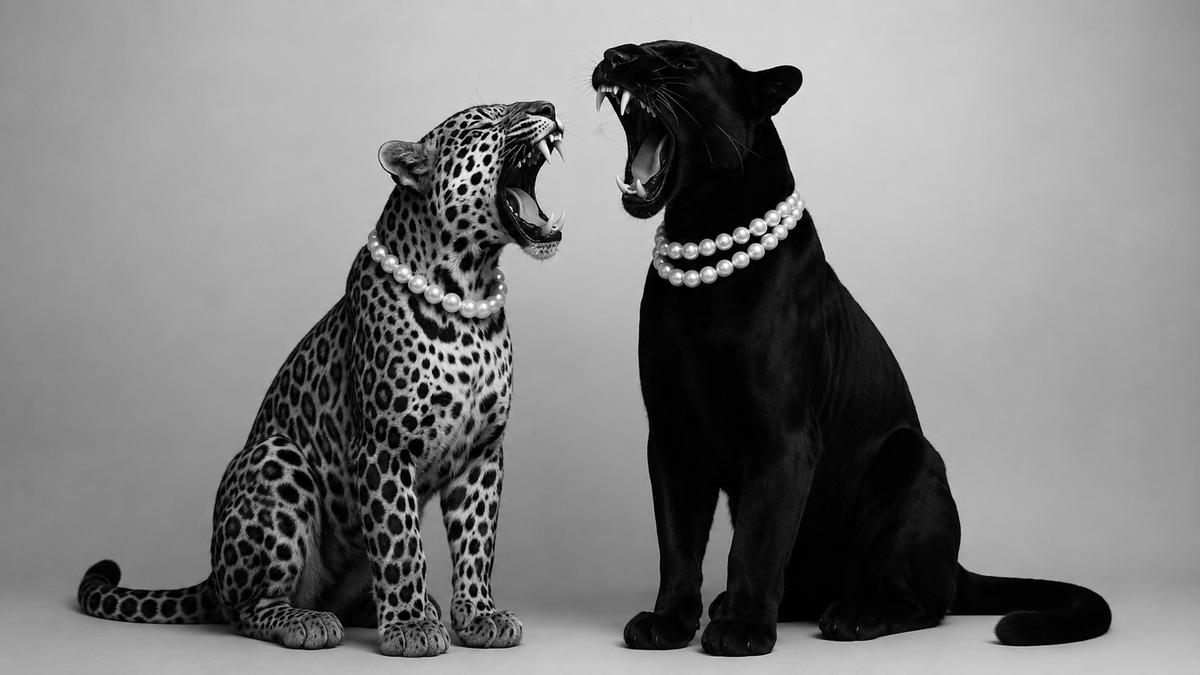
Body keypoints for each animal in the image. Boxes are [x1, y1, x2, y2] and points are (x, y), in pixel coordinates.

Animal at [76, 99, 567, 657]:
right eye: (487, 120)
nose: (549, 106)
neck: (470, 291)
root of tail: (212, 575)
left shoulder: (484, 451)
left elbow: (476, 543)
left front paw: (478, 615)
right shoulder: (383, 445)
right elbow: (400, 544)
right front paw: (409, 628)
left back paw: (409, 607)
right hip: (277, 459)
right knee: (247, 609)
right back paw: (307, 621)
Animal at [592, 40, 1111, 656]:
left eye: (683, 65)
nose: (615, 55)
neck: (699, 236)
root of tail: (956, 564)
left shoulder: (782, 438)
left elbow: (756, 543)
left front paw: (742, 630)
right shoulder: (672, 438)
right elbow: (677, 543)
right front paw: (668, 621)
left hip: (911, 460)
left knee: (923, 603)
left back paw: (853, 615)